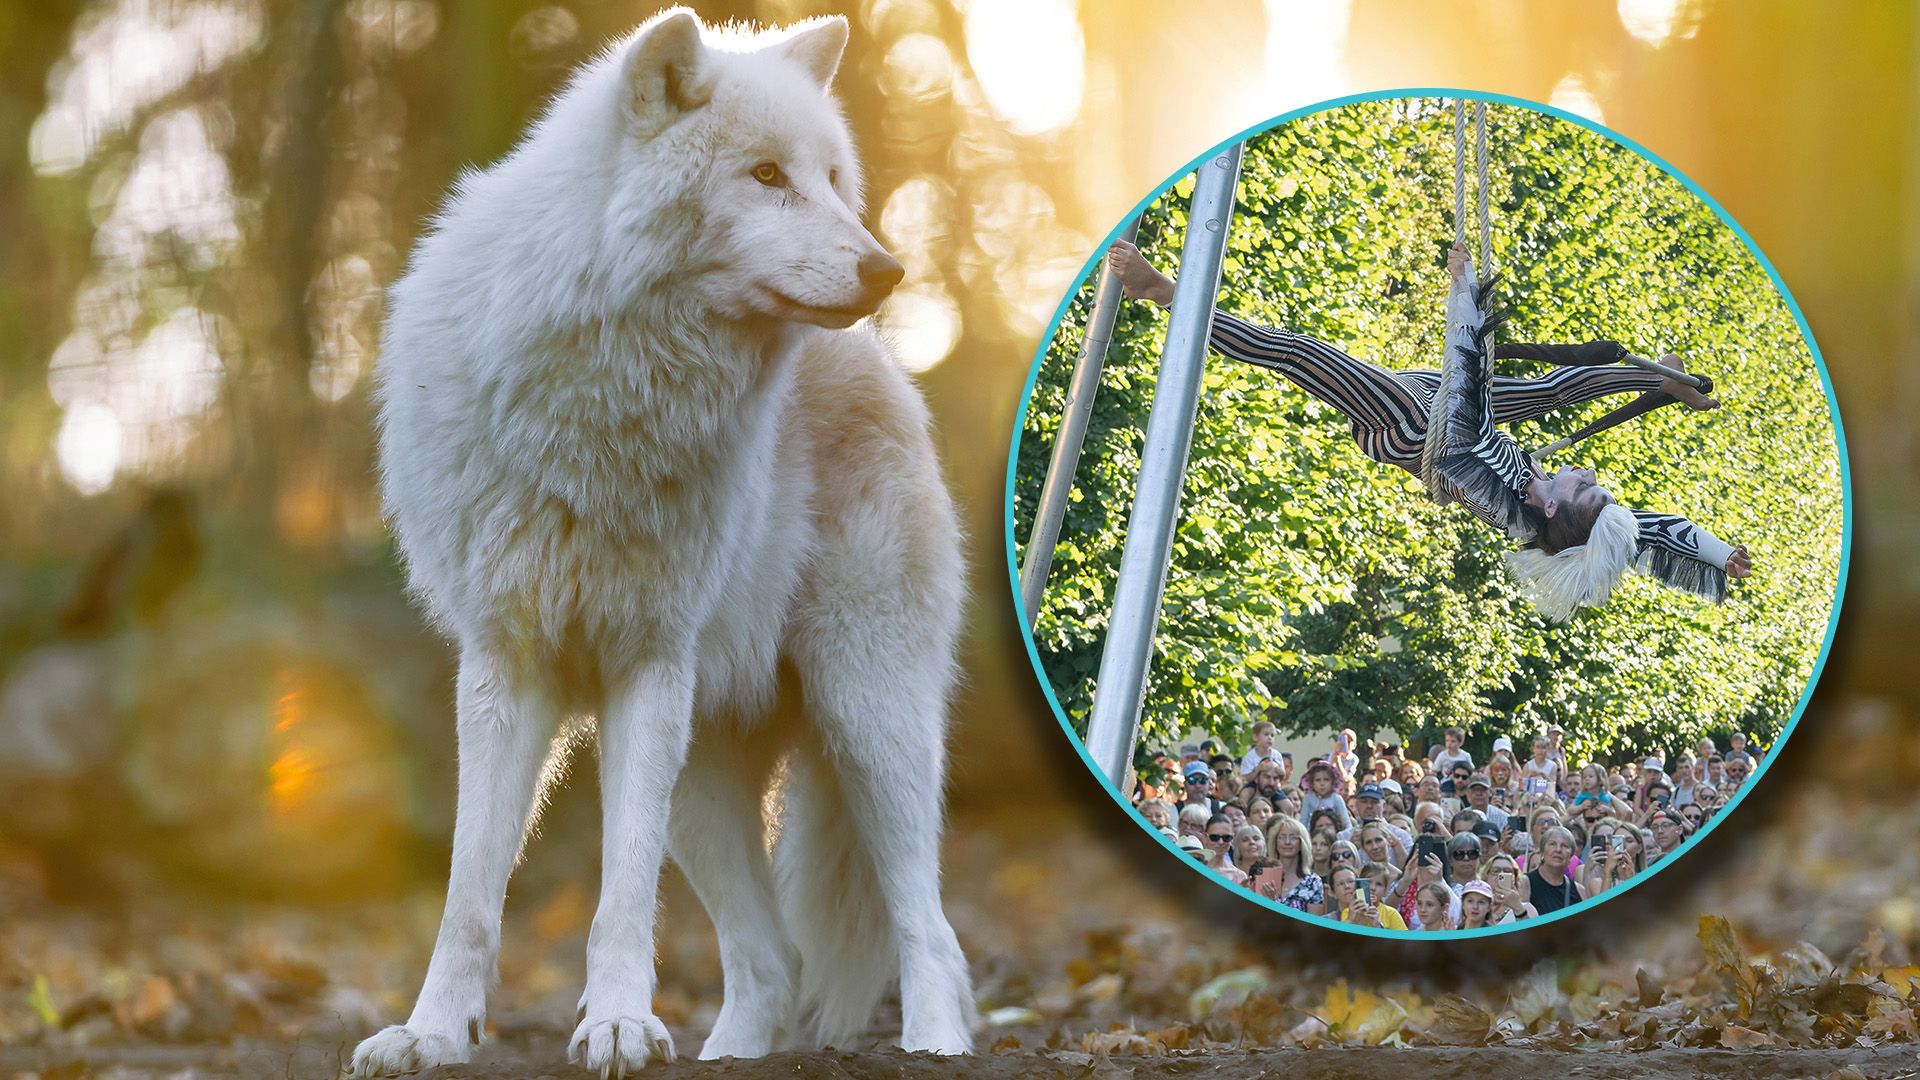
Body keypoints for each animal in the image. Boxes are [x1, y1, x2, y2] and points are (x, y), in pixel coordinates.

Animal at [350, 9, 974, 1076]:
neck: (603, 399)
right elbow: (469, 890)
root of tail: (885, 366)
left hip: (866, 716)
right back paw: (733, 1053)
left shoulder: (648, 663)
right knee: (770, 959)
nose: (887, 269)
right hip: (707, 787)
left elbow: (621, 896)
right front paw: (429, 1034)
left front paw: (616, 1026)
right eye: (765, 175)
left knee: (926, 927)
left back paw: (936, 1046)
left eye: (831, 179)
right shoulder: (504, 666)